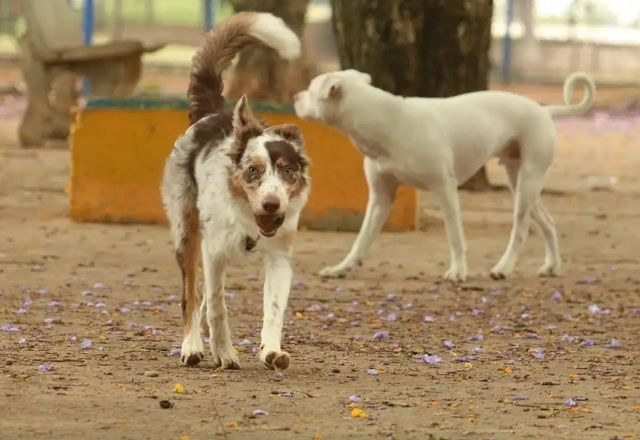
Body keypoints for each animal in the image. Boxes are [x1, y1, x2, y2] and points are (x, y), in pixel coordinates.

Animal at [161, 12, 308, 372]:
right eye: (253, 170)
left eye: (287, 170)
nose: (271, 204)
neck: (248, 221)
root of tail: (213, 113)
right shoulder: (213, 252)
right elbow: (215, 304)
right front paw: (224, 353)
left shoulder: (279, 257)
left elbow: (274, 309)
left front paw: (271, 351)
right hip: (186, 232)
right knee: (191, 295)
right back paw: (193, 345)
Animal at [296, 69, 596, 282]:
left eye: (310, 89)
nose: (296, 97)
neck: (387, 122)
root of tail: (544, 110)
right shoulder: (381, 198)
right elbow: (361, 238)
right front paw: (342, 268)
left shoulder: (445, 190)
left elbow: (455, 235)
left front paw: (458, 271)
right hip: (520, 183)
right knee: (548, 223)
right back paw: (552, 266)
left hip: (527, 184)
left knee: (520, 230)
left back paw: (503, 268)